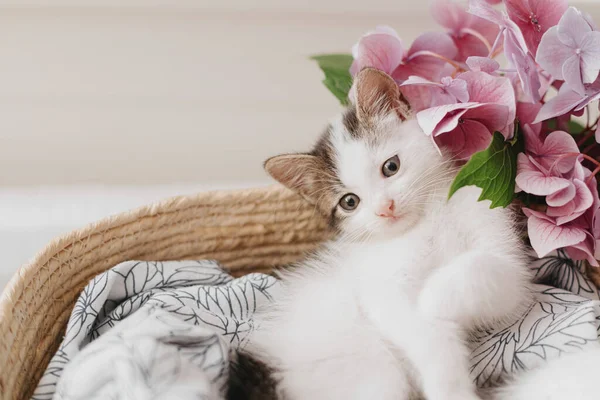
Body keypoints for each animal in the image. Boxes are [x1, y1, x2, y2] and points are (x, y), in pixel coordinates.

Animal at [233, 69, 596, 400]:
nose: (385, 208)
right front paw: (449, 385)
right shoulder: (382, 287)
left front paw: (433, 297)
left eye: (390, 167)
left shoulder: (502, 254)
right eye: (349, 202)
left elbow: (486, 271)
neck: (426, 220)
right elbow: (418, 329)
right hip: (368, 372)